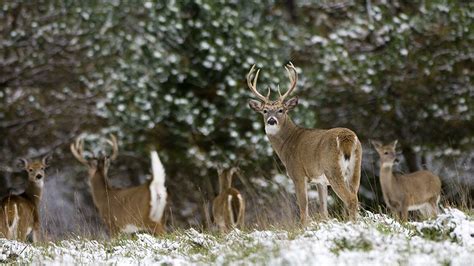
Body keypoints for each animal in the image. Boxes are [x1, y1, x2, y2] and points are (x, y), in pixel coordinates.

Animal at [246, 63, 362, 223]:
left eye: (281, 110)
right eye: (264, 111)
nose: (271, 121)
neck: (287, 143)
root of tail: (347, 137)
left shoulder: (298, 174)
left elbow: (303, 206)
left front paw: (304, 225)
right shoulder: (320, 181)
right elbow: (323, 210)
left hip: (333, 169)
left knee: (350, 199)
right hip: (355, 168)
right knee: (355, 197)